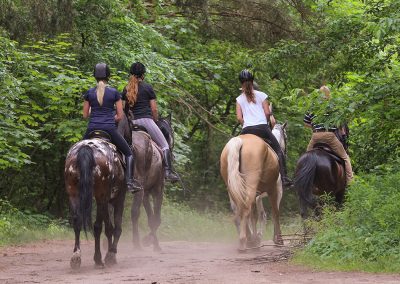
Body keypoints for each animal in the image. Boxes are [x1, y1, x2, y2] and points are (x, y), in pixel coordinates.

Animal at [65, 138, 126, 268]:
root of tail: (86, 148)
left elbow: (109, 227)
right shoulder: (118, 198)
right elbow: (114, 228)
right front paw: (111, 254)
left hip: (74, 194)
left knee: (77, 221)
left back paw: (76, 257)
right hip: (101, 196)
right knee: (98, 226)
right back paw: (98, 258)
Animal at [119, 113, 175, 251]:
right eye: (172, 132)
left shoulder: (146, 193)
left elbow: (150, 218)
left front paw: (152, 242)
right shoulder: (157, 190)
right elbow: (156, 219)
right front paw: (152, 243)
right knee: (134, 213)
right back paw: (137, 244)